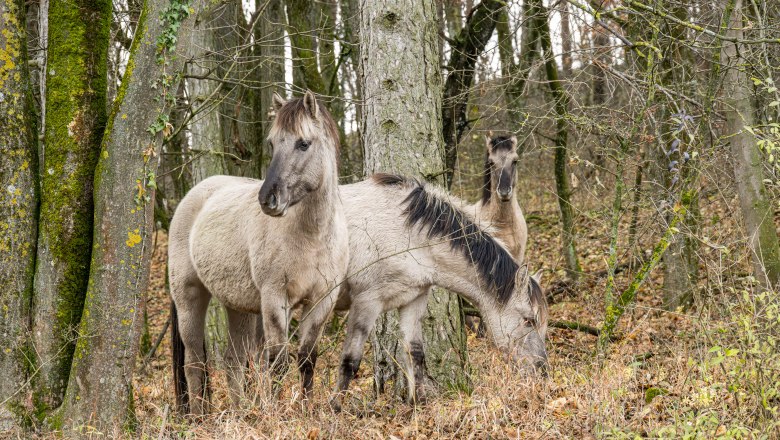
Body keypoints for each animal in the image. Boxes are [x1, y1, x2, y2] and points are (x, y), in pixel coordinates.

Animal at [169, 91, 348, 414]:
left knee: (233, 361)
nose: (268, 199)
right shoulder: (275, 299)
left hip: (238, 306)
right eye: (272, 143)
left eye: (303, 143)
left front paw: (305, 411)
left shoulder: (321, 301)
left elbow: (307, 360)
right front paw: (277, 414)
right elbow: (277, 363)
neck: (312, 237)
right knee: (194, 363)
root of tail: (193, 196)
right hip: (189, 297)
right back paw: (198, 417)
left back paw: (240, 411)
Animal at [334, 174, 548, 408]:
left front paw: (416, 404)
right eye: (528, 320)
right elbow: (350, 360)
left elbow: (415, 353)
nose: (542, 371)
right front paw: (335, 409)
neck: (409, 235)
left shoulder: (413, 299)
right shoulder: (367, 302)